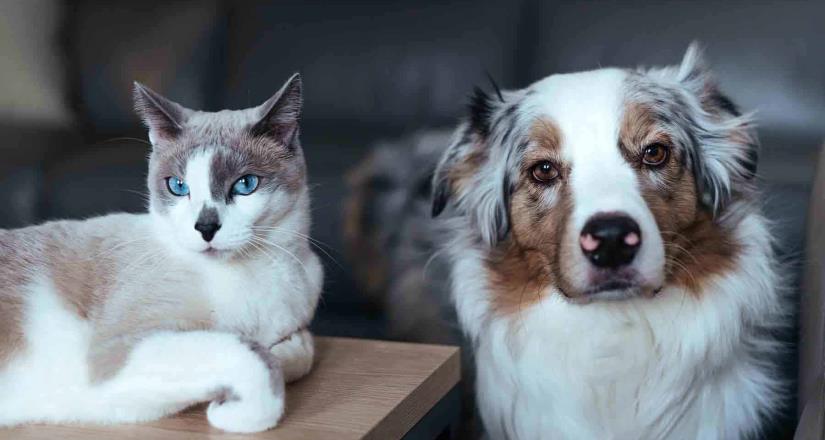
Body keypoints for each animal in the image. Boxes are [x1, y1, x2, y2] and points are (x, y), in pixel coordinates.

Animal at [0, 73, 322, 434]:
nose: (205, 227)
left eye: (245, 184)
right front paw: (226, 412)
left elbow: (299, 351)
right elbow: (255, 361)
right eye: (178, 187)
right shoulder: (119, 353)